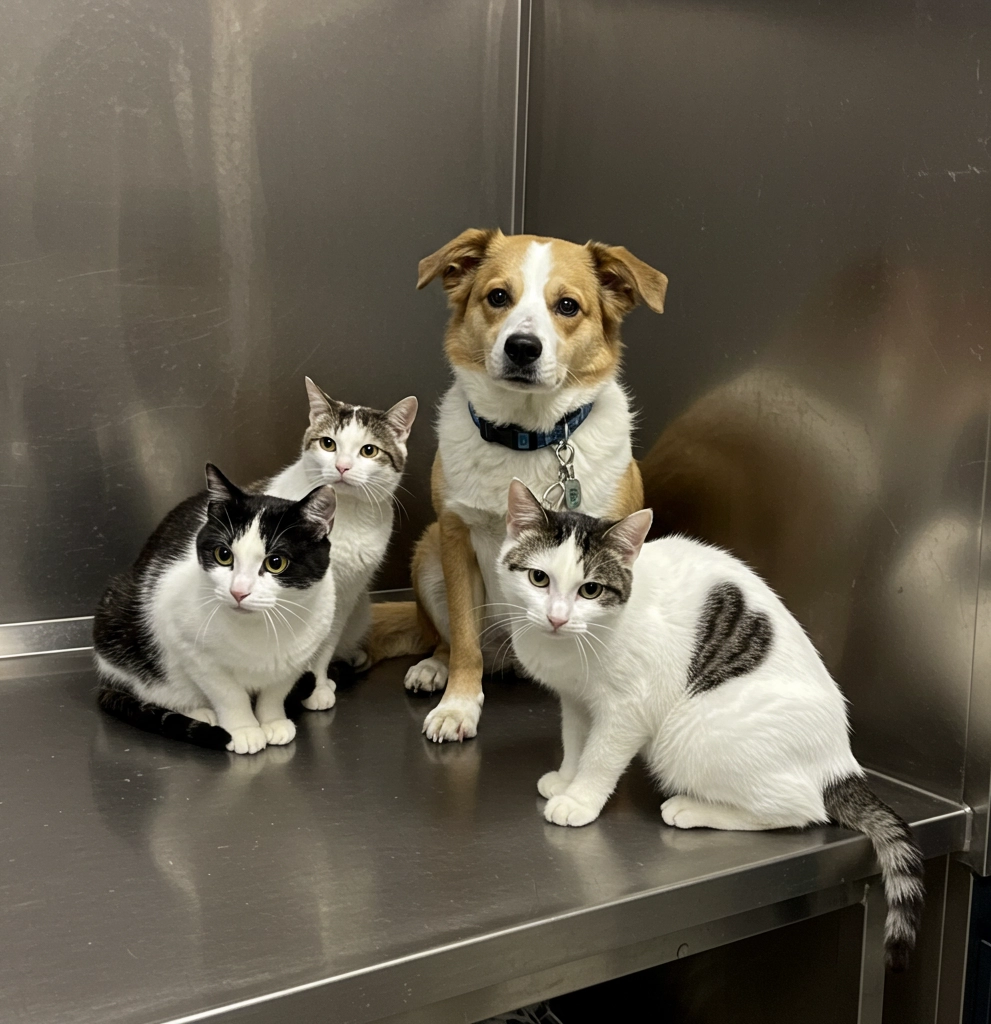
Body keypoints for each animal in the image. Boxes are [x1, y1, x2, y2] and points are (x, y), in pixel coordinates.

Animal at [95, 464, 337, 753]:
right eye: (224, 555)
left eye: (276, 562)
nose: (238, 591)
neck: (258, 628)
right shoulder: (190, 648)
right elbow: (228, 693)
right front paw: (244, 729)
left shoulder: (298, 656)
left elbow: (276, 690)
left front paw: (273, 721)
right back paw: (200, 713)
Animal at [256, 378, 415, 712]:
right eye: (328, 444)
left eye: (369, 450)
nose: (342, 466)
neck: (343, 516)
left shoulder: (343, 597)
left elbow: (324, 645)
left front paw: (317, 685)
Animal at [370, 228, 667, 741]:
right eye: (497, 297)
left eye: (567, 305)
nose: (523, 347)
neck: (528, 437)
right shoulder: (456, 537)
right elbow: (464, 640)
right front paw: (459, 706)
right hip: (428, 554)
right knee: (451, 642)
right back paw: (435, 667)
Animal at [499, 479, 925, 966]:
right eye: (539, 578)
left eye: (590, 590)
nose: (557, 617)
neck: (571, 649)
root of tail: (840, 762)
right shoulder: (575, 699)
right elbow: (575, 740)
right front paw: (566, 779)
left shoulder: (629, 706)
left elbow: (601, 756)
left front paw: (580, 800)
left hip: (687, 737)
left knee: (802, 809)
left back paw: (691, 808)